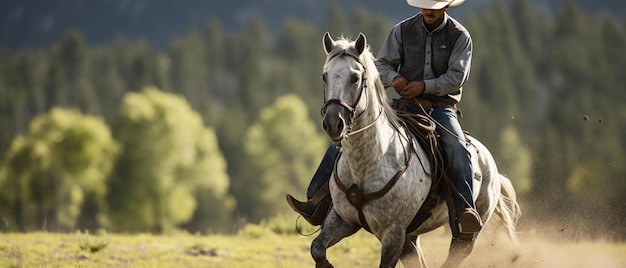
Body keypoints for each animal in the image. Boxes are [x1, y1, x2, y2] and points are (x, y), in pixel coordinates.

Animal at [310, 32, 520, 266]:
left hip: (468, 229)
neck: (366, 164)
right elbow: (317, 248)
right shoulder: (342, 219)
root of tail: (490, 164)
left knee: (458, 251)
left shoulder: (394, 233)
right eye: (325, 77)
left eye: (355, 78)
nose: (333, 123)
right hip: (410, 237)